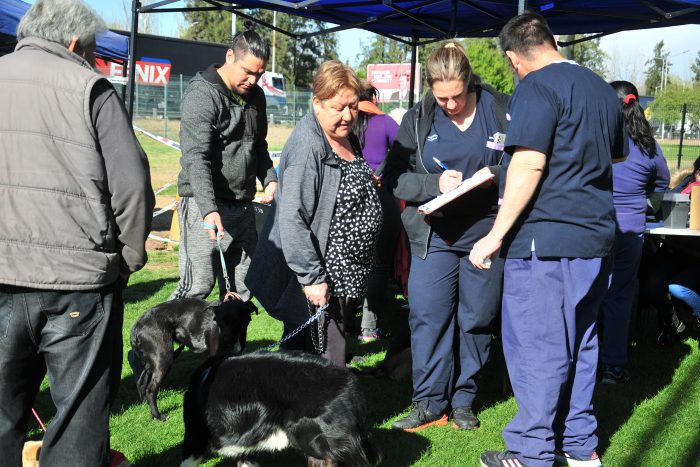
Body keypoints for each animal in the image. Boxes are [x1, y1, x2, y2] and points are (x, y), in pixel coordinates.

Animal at [127, 298, 256, 422]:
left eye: (236, 321)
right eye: (219, 323)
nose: (226, 341)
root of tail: (136, 326)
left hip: (152, 362)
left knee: (141, 382)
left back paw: (146, 405)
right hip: (163, 359)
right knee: (151, 389)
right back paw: (157, 416)